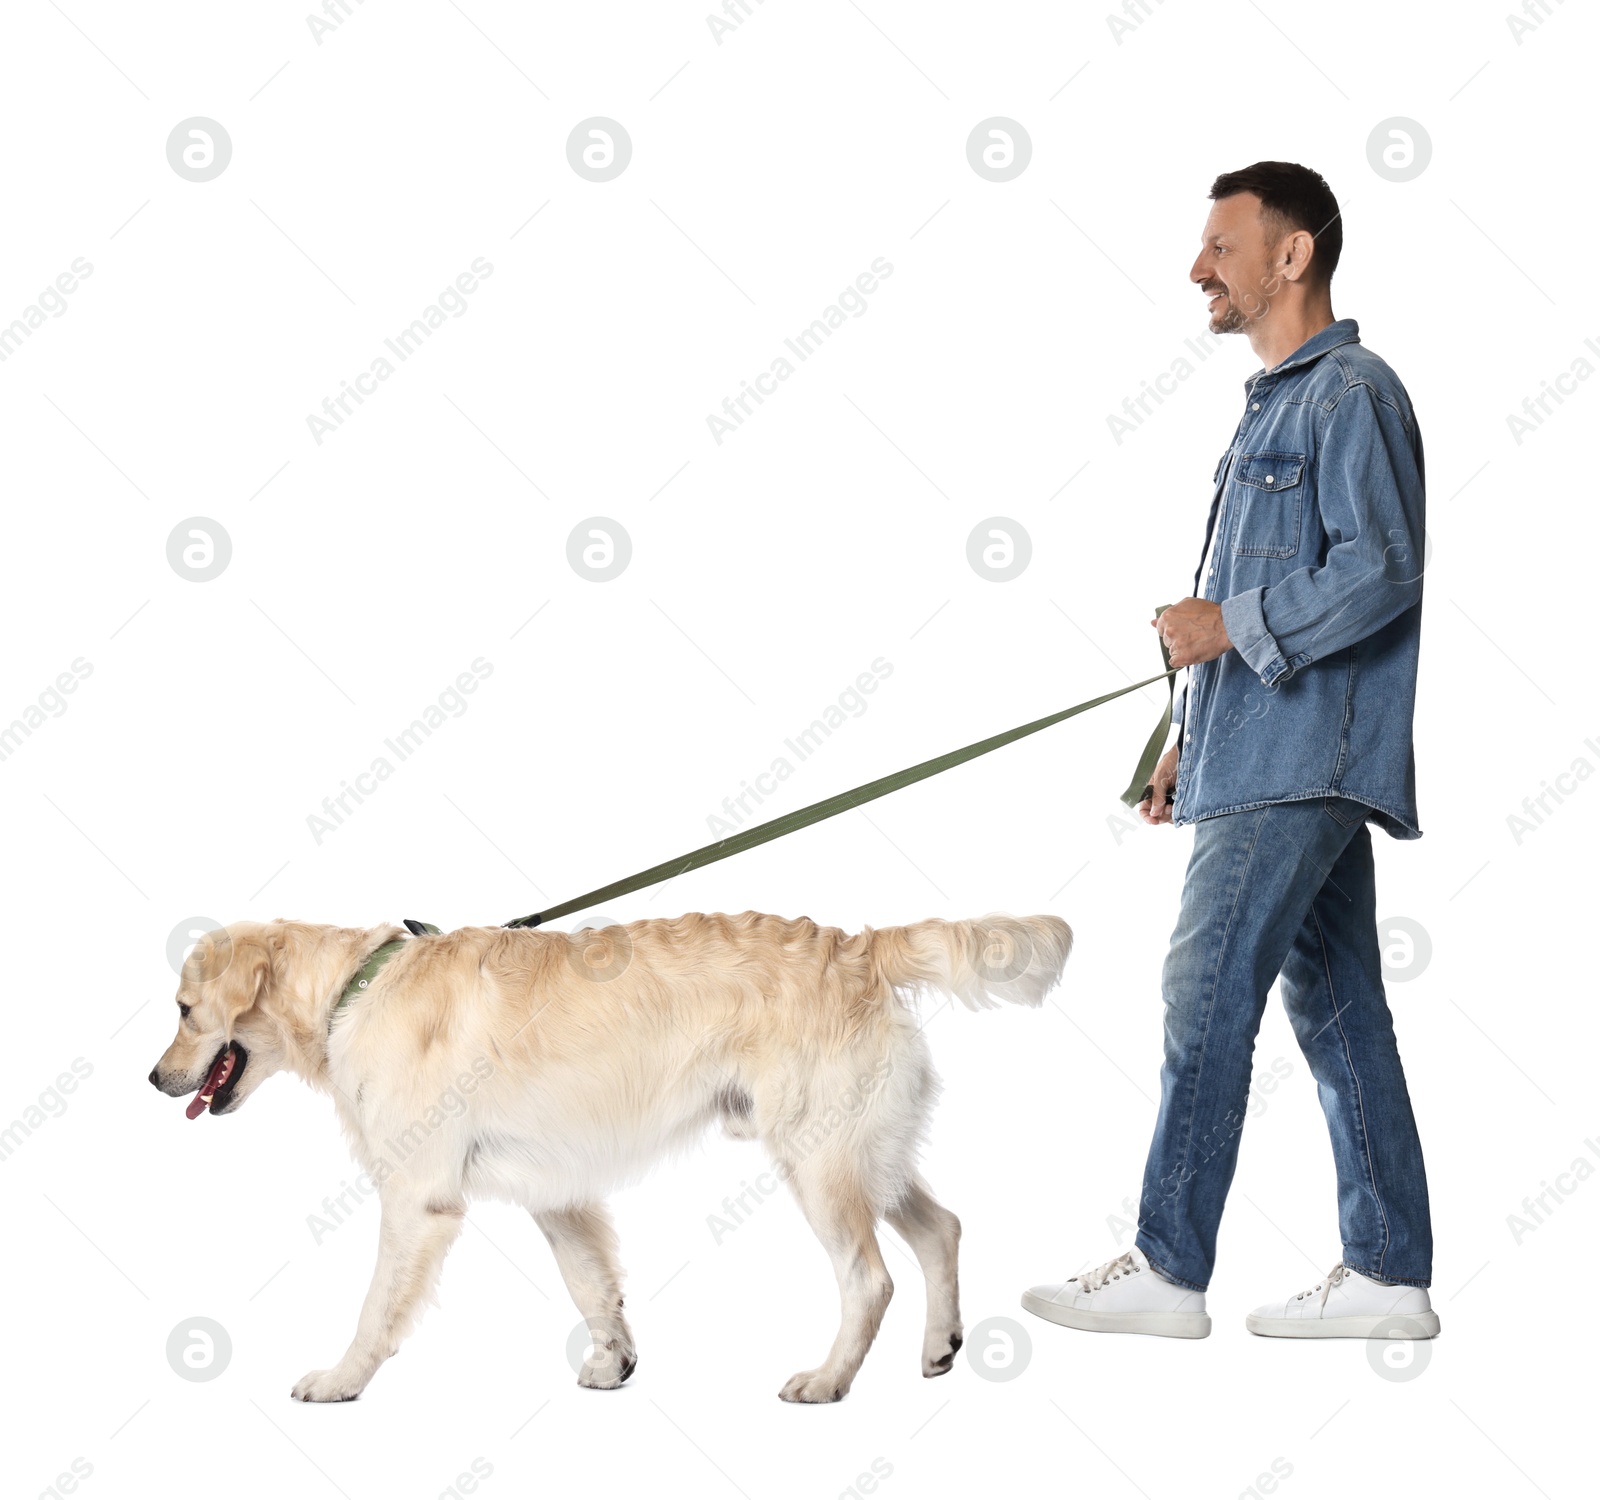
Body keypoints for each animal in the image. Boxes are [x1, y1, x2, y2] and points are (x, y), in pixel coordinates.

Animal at [150, 908, 1068, 1394]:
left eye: (186, 1011)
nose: (155, 1079)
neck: (355, 989)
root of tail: (859, 943)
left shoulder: (417, 1199)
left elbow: (376, 1309)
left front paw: (341, 1380)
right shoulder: (556, 1195)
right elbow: (592, 1286)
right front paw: (614, 1361)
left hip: (818, 1162)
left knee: (870, 1278)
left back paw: (827, 1381)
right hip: (865, 1152)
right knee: (942, 1227)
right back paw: (940, 1346)